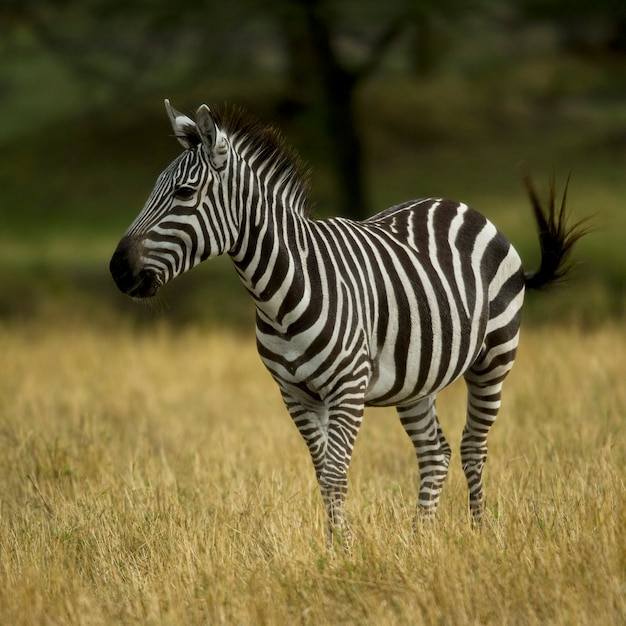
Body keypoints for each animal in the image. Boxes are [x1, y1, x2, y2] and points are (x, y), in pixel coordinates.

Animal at [111, 100, 584, 544]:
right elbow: (323, 474)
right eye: (155, 189)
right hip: (417, 380)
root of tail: (461, 205)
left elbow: (336, 473)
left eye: (185, 192)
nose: (118, 270)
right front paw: (336, 545)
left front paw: (344, 550)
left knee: (472, 446)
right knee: (436, 453)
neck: (280, 292)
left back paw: (480, 533)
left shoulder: (348, 387)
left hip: (495, 358)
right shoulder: (294, 393)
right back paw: (420, 539)